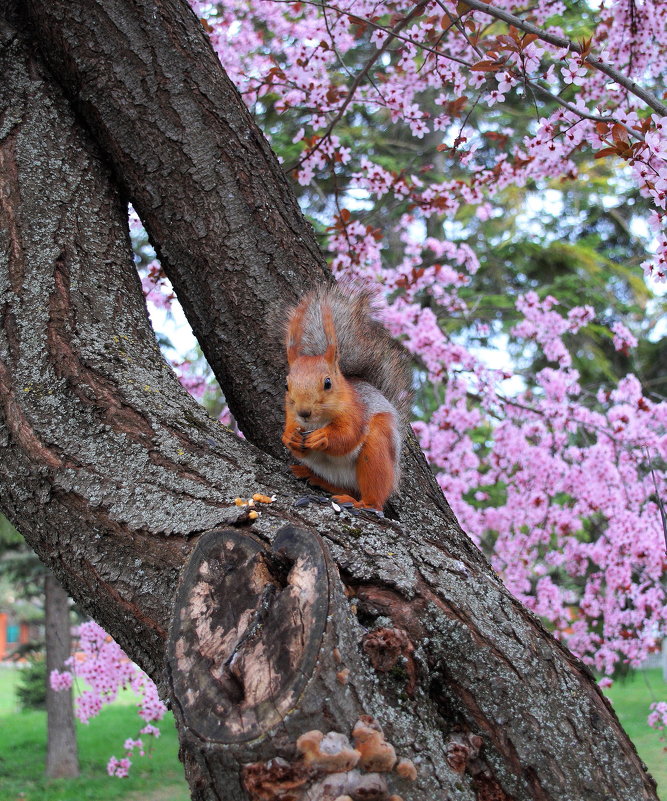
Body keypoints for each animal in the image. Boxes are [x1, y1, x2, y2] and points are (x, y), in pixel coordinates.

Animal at [280, 286, 410, 512]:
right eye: (286, 385)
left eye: (328, 383)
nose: (304, 412)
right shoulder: (291, 415)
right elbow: (291, 434)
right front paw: (290, 438)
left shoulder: (356, 411)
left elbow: (347, 436)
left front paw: (322, 437)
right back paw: (314, 477)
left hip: (376, 454)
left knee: (374, 496)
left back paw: (362, 502)